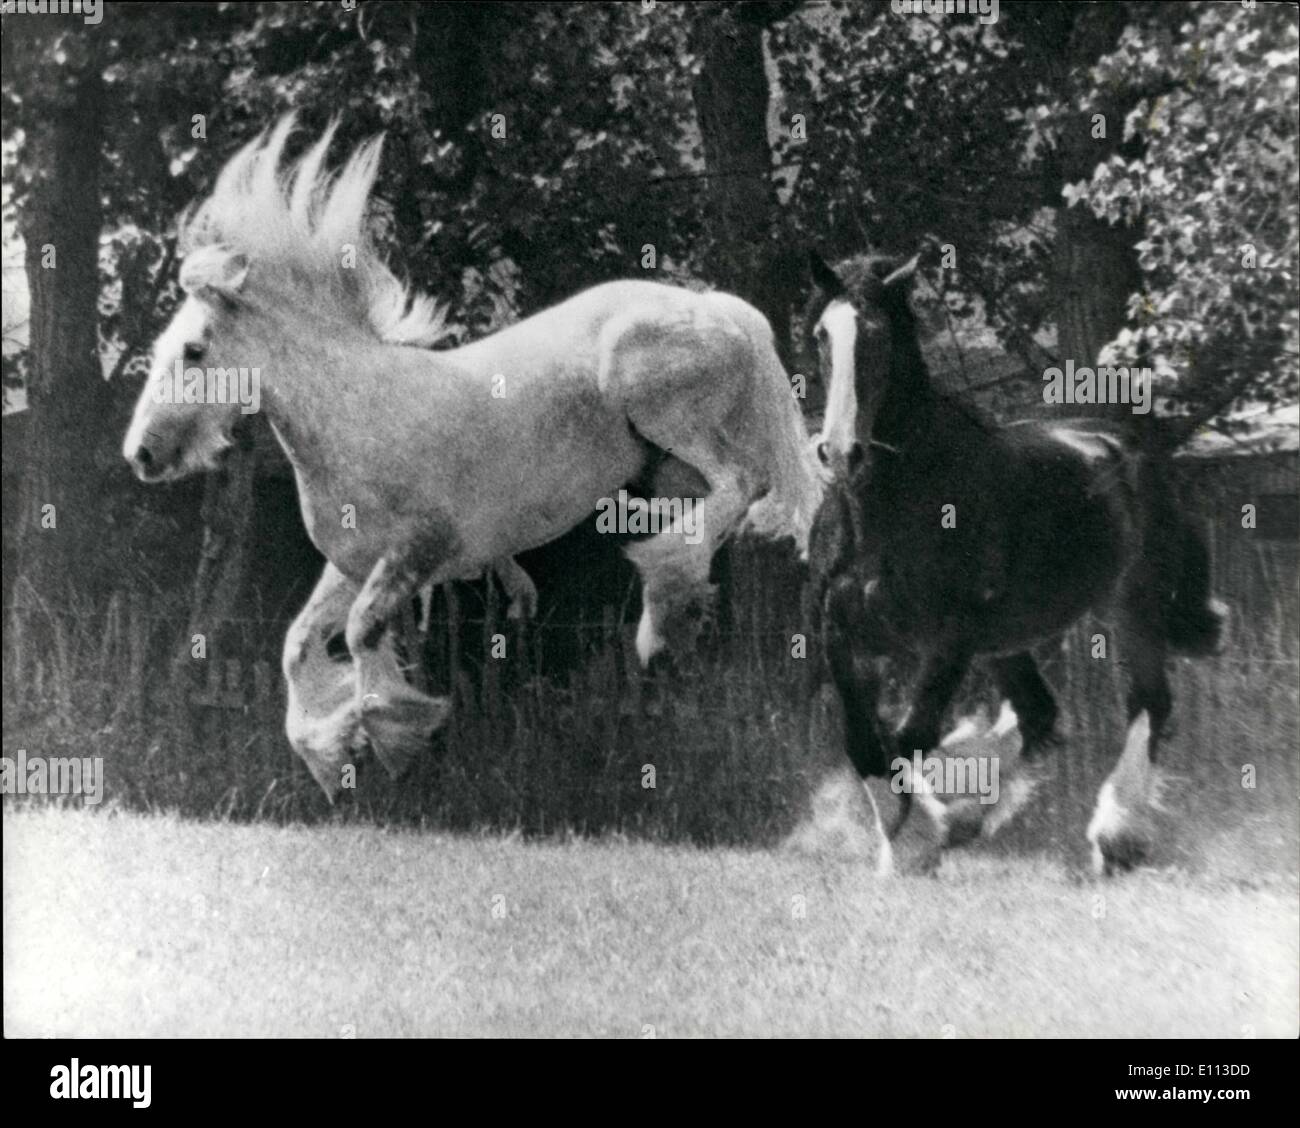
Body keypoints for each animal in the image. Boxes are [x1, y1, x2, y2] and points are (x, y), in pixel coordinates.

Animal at [126, 118, 816, 795]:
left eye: (193, 350)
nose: (141, 454)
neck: (360, 417)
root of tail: (719, 308)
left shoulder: (420, 549)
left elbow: (361, 631)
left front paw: (392, 736)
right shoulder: (352, 563)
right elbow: (298, 645)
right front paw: (333, 751)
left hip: (667, 414)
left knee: (743, 482)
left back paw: (663, 590)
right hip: (667, 469)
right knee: (724, 503)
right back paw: (670, 612)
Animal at [806, 253, 1222, 873]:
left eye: (878, 336)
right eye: (821, 335)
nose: (840, 453)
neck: (888, 509)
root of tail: (1132, 451)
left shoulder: (948, 642)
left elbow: (908, 738)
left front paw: (915, 843)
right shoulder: (843, 636)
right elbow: (866, 749)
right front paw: (926, 830)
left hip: (1132, 606)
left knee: (1149, 704)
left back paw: (1116, 836)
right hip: (1005, 643)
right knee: (1040, 717)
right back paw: (973, 819)